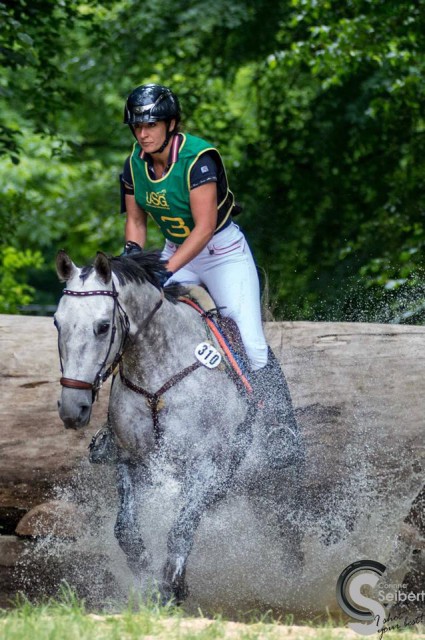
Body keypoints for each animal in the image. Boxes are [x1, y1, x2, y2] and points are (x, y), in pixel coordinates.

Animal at [54, 249, 302, 600]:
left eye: (103, 327)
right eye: (57, 323)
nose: (72, 408)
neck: (156, 374)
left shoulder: (206, 466)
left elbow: (181, 530)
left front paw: (171, 587)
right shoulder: (130, 459)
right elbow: (126, 530)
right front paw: (144, 578)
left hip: (278, 488)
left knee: (289, 539)